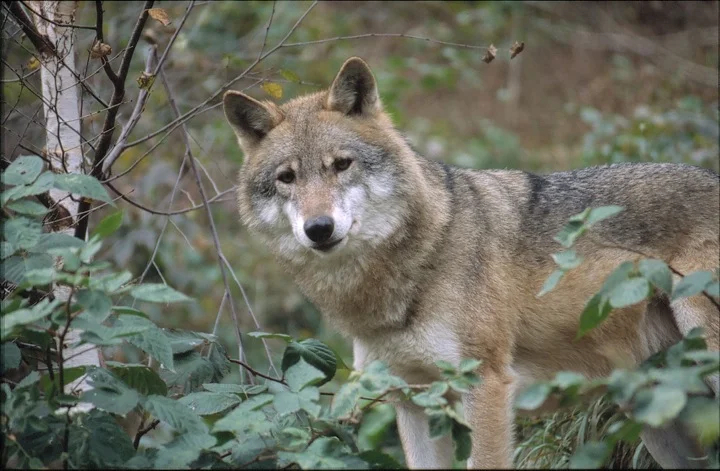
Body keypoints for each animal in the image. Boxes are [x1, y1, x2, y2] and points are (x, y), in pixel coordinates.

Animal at [223, 57, 720, 469]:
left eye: (342, 165)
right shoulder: (412, 400)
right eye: (287, 178)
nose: (319, 228)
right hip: (659, 418)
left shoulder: (485, 387)